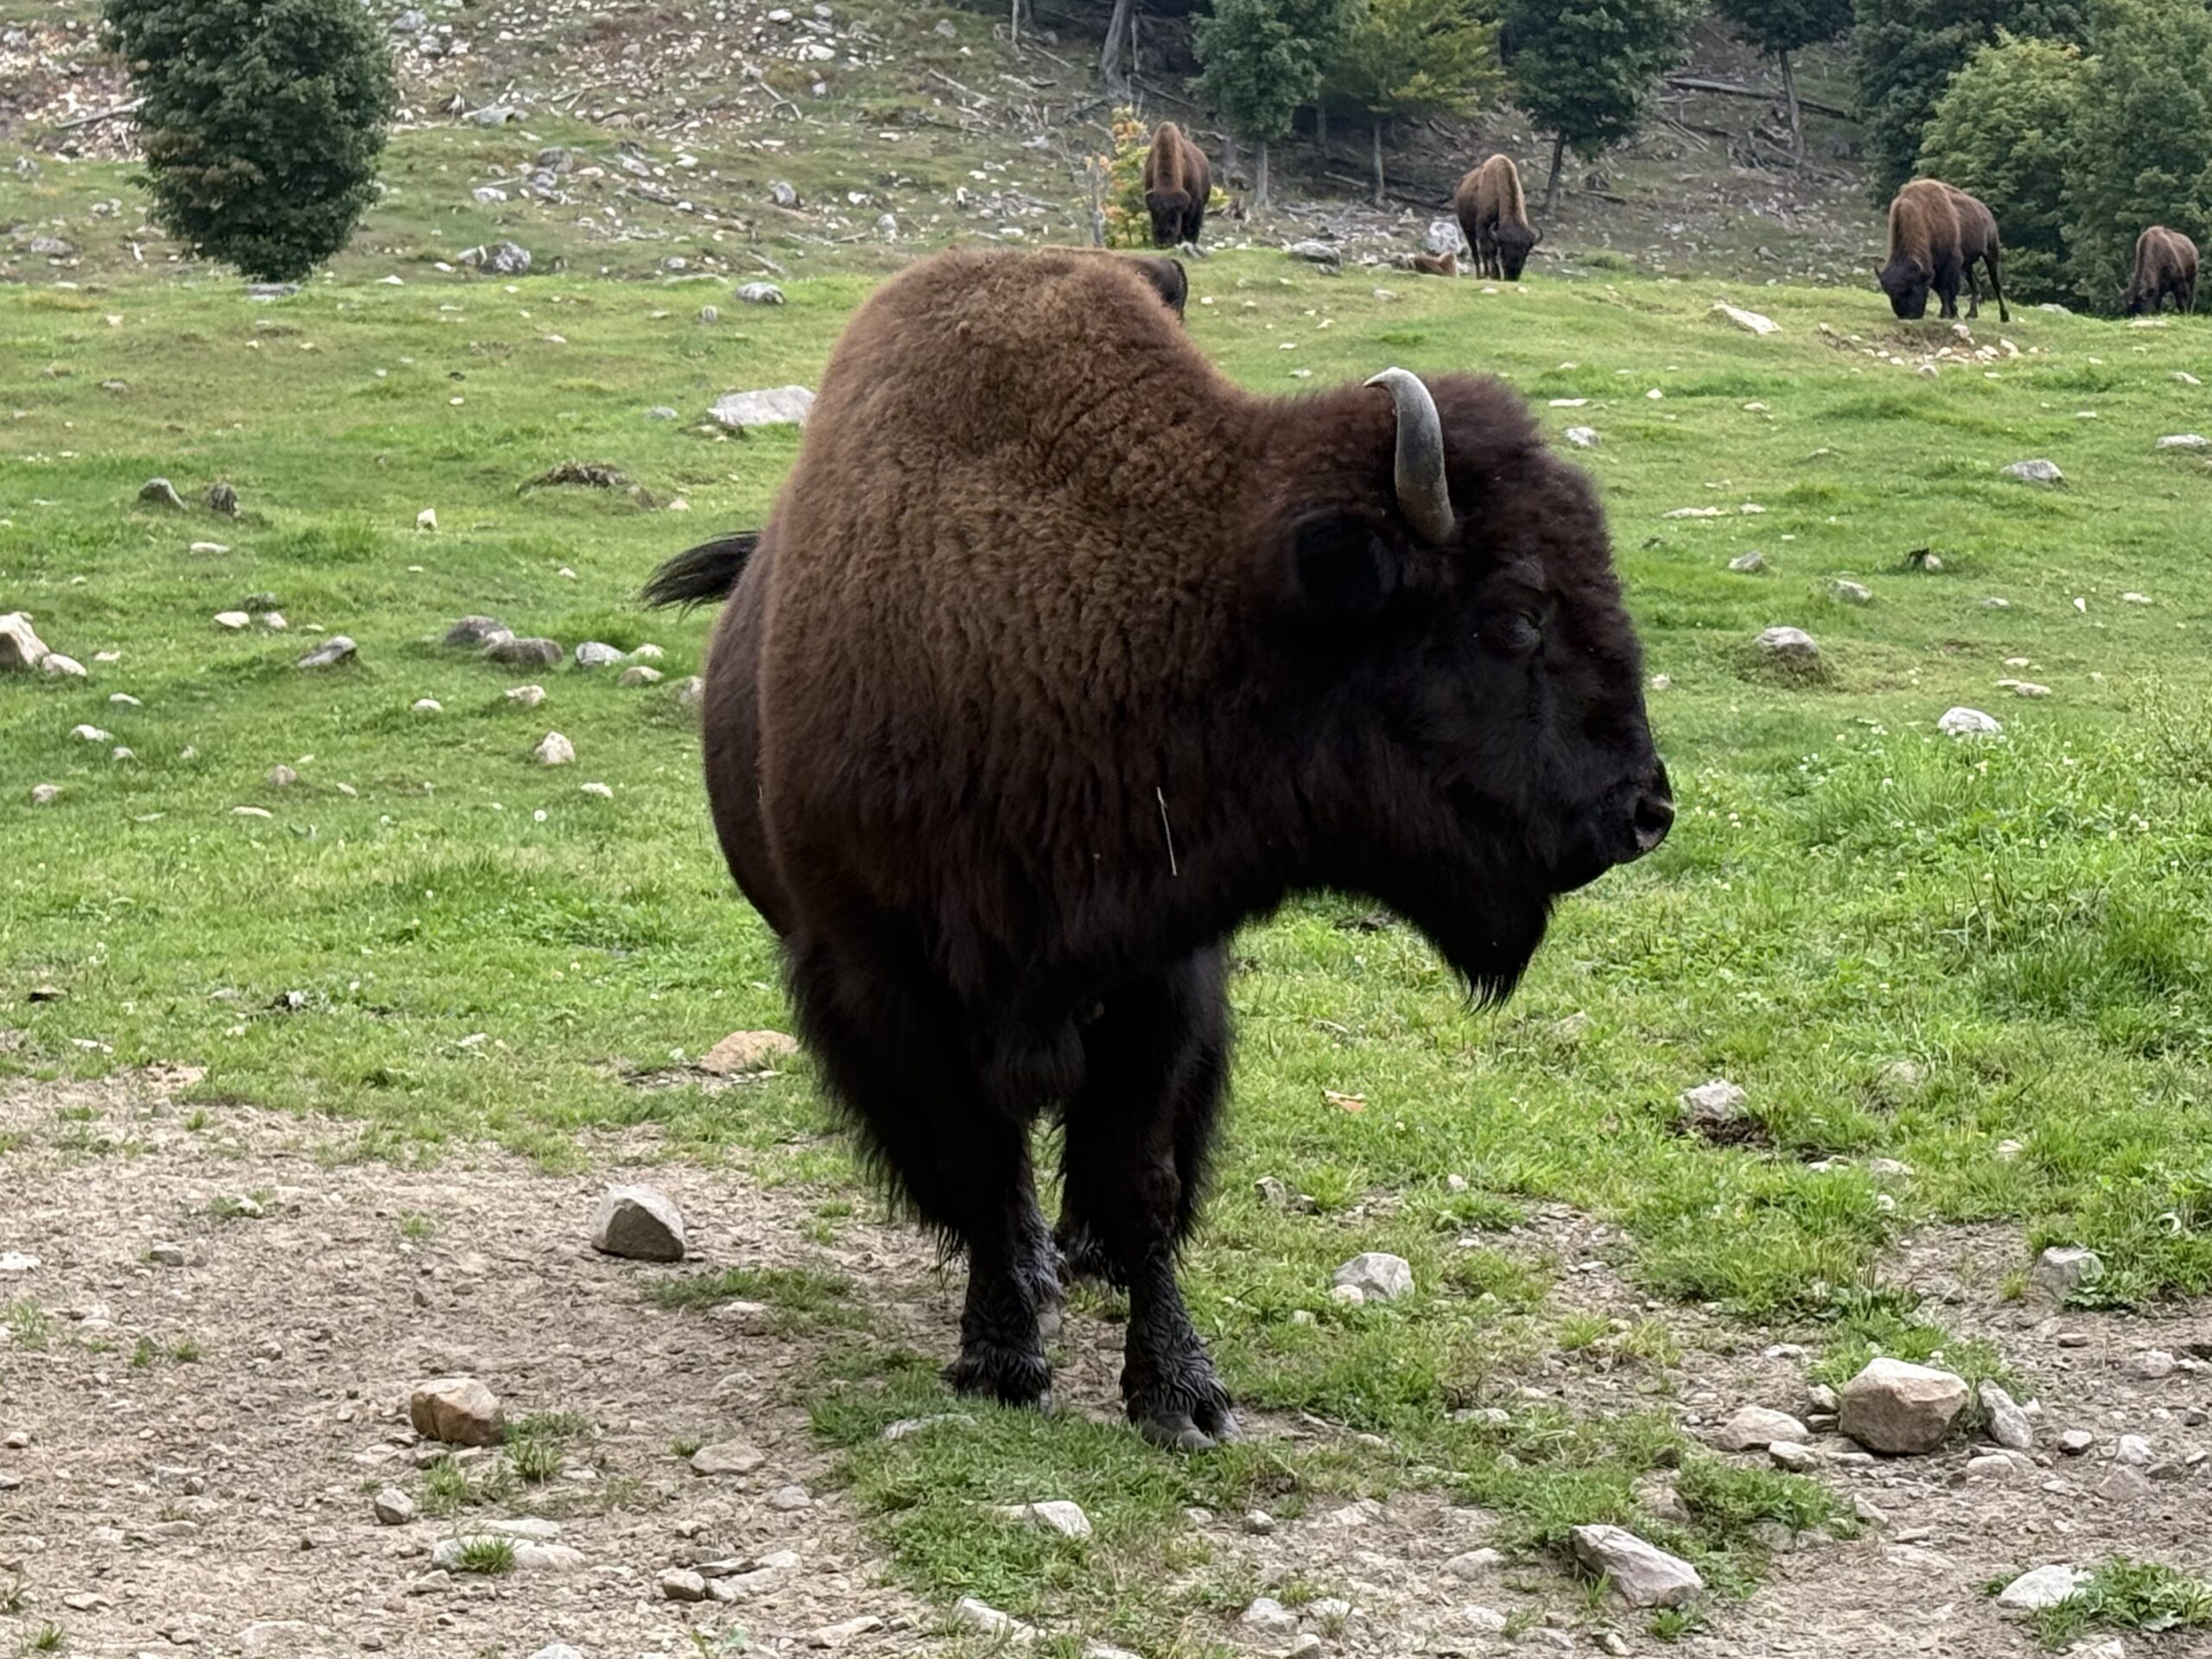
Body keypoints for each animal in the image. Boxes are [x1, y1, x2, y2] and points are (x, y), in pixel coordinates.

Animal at [647, 248, 1671, 1449]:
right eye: (1514, 615)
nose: (1644, 811)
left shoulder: (1161, 972)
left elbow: (1141, 1182)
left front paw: (1179, 1393)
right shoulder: (889, 981)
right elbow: (977, 1158)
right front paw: (1003, 1355)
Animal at [1141, 122, 1211, 249]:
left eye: (1175, 217)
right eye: (1154, 214)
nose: (1163, 242)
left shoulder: (1192, 203)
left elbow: (1187, 223)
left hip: (1203, 204)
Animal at [1455, 155, 1539, 281]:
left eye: (1526, 253)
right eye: (1503, 251)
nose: (1512, 275)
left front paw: (1495, 274)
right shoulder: (1484, 226)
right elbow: (1490, 249)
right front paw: (1495, 274)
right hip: (1468, 230)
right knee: (1477, 252)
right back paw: (1481, 274)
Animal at [1879, 179, 2009, 323]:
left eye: (1910, 288)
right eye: (1890, 294)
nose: (1906, 315)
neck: (1924, 216)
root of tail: (1987, 213)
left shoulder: (1951, 262)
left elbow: (1947, 289)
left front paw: (1947, 314)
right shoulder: (1936, 268)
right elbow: (1941, 290)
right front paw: (1951, 313)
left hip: (1991, 253)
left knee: (1996, 283)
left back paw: (2004, 316)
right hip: (1967, 266)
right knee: (1975, 285)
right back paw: (1971, 314)